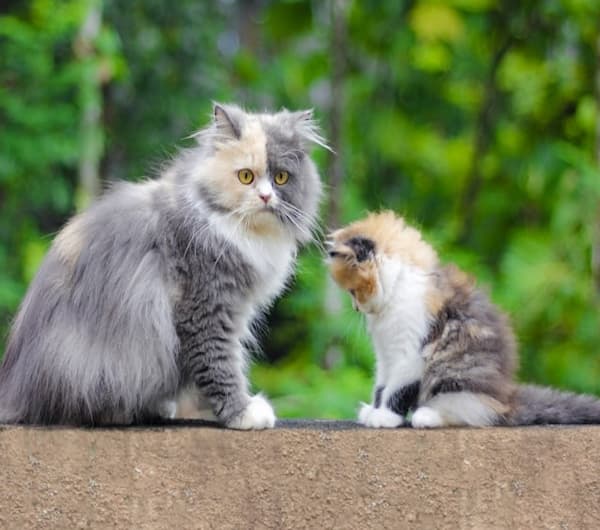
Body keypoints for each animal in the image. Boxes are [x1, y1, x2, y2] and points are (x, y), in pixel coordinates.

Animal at [0, 102, 326, 424]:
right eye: (246, 176)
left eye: (281, 177)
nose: (266, 197)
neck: (242, 233)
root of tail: (14, 392)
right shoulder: (206, 307)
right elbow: (219, 364)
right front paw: (243, 412)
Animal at [326, 209, 600, 424]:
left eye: (353, 292)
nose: (356, 308)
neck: (399, 289)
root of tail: (507, 401)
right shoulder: (385, 354)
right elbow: (381, 384)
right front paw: (373, 410)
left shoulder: (411, 352)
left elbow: (398, 388)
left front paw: (385, 416)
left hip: (456, 379)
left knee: (471, 412)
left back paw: (427, 416)